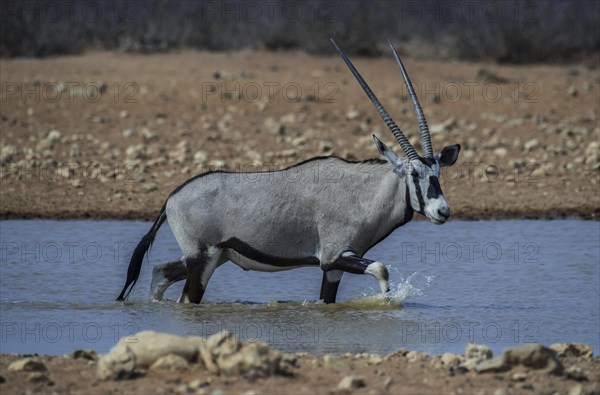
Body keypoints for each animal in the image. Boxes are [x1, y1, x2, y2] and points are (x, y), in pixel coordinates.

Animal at [119, 40, 462, 304]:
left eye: (437, 173)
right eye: (414, 175)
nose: (442, 211)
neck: (364, 192)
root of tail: (171, 198)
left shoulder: (335, 267)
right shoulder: (334, 256)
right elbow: (382, 269)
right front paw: (387, 299)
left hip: (212, 258)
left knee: (160, 273)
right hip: (202, 260)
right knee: (185, 295)